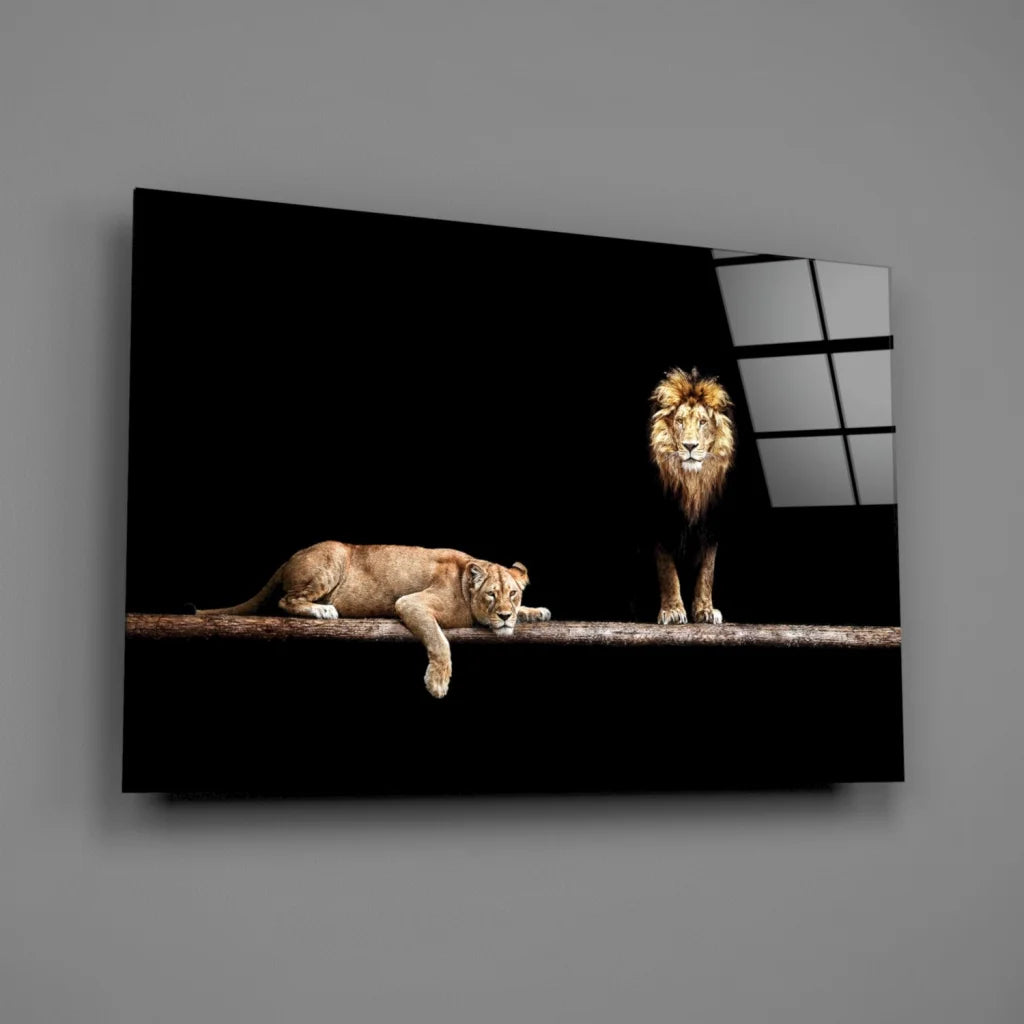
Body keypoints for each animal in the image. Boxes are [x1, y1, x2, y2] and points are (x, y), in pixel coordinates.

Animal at [194, 542, 551, 698]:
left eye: (514, 594)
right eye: (491, 595)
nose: (504, 615)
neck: (466, 582)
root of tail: (290, 557)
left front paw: (534, 612)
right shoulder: (410, 603)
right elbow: (440, 642)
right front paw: (437, 683)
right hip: (333, 558)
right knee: (286, 600)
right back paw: (323, 610)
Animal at [648, 367, 736, 625]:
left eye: (703, 422)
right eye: (679, 421)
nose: (689, 446)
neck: (691, 483)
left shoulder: (711, 525)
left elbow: (707, 571)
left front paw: (705, 610)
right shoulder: (661, 523)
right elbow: (667, 570)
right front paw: (672, 611)